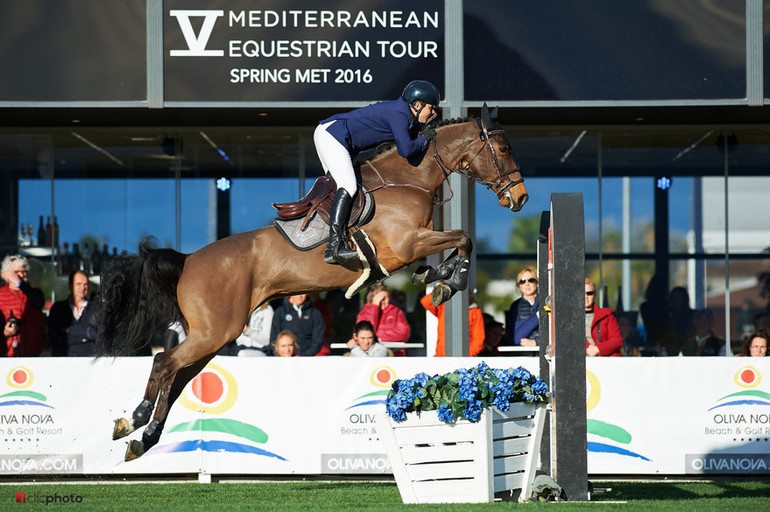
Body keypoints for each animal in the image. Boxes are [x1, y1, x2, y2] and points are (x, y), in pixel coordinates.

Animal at [94, 104, 528, 460]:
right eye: (504, 149)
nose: (521, 198)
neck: (410, 177)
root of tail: (188, 261)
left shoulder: (410, 247)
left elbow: (452, 246)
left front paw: (437, 279)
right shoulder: (407, 243)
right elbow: (463, 237)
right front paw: (448, 281)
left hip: (211, 336)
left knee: (178, 376)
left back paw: (142, 437)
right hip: (215, 331)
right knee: (164, 362)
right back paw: (136, 420)